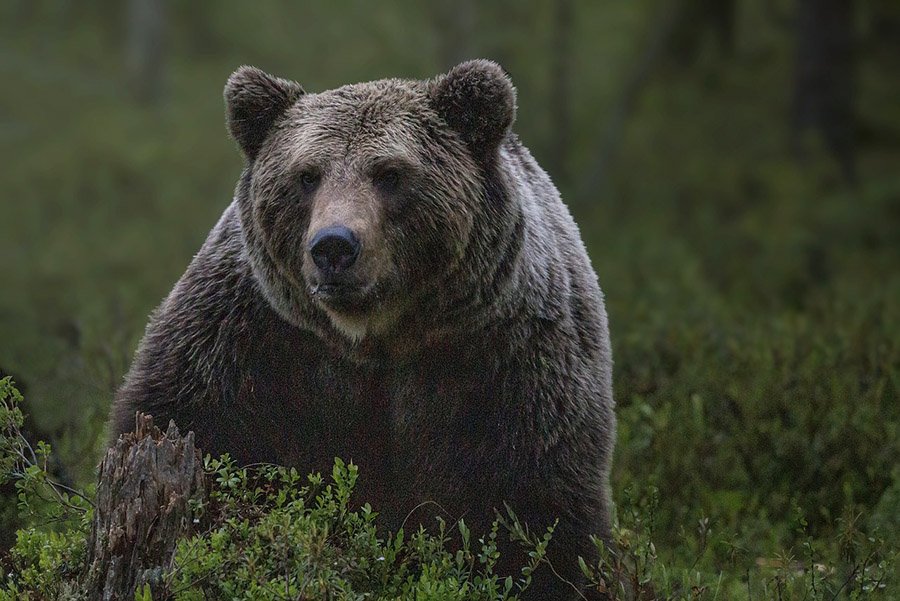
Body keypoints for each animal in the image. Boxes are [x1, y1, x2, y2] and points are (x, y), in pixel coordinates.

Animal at [109, 58, 616, 596]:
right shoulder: (247, 340)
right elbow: (190, 422)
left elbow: (538, 509)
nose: (334, 246)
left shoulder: (507, 361)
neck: (375, 337)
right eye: (306, 175)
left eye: (390, 173)